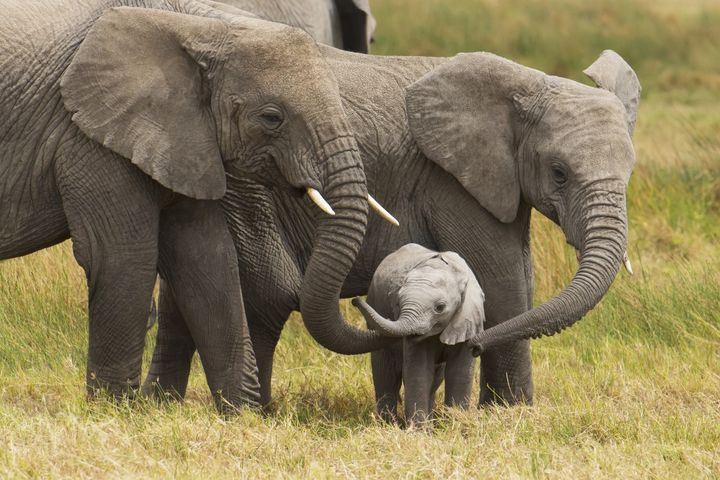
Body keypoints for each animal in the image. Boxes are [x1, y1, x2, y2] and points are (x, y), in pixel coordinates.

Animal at [0, 0, 397, 412]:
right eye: (272, 118)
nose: (364, 302)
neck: (199, 24)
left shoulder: (184, 138)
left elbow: (207, 259)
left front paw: (244, 414)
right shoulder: (90, 134)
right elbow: (121, 256)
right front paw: (114, 410)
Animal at [351, 244, 485, 425]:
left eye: (440, 307)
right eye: (398, 303)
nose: (354, 300)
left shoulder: (467, 318)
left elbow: (460, 372)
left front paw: (456, 425)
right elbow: (418, 372)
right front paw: (419, 430)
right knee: (385, 374)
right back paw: (387, 424)